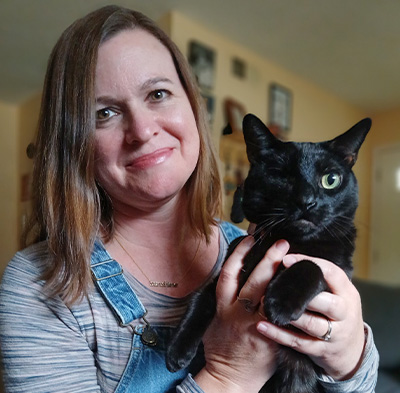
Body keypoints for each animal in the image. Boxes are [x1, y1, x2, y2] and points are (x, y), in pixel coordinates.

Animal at [166, 113, 372, 392]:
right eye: (280, 176)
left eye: (331, 179)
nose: (307, 201)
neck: (290, 240)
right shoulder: (223, 275)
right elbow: (200, 299)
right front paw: (177, 349)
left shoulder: (338, 276)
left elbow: (311, 265)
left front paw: (281, 302)